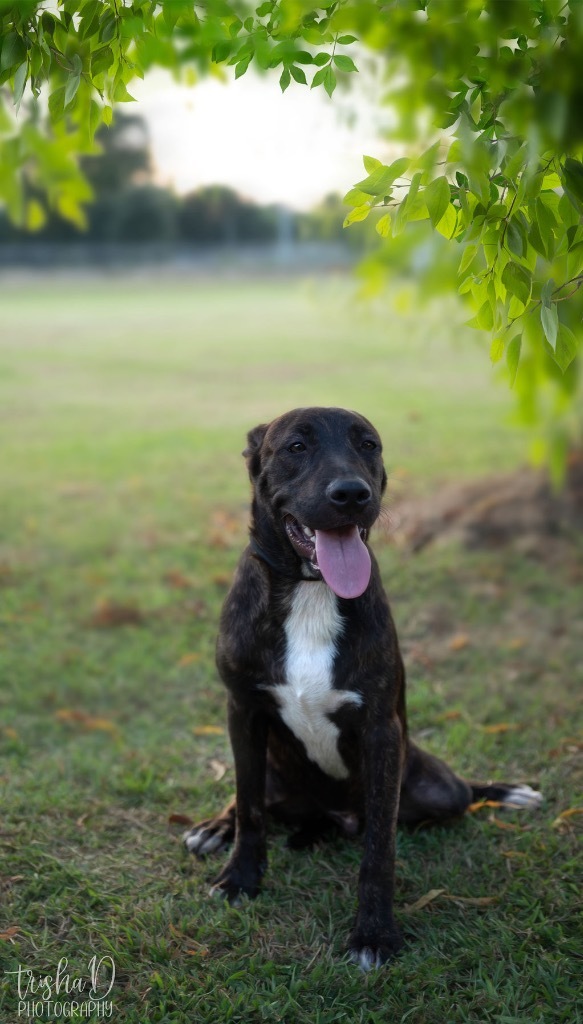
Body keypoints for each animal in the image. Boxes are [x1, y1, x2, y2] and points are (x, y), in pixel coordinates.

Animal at [183, 407, 540, 966]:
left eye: (368, 445)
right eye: (296, 446)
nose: (351, 493)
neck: (310, 590)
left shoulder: (380, 731)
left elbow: (380, 848)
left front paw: (373, 933)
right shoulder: (242, 710)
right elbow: (248, 807)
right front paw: (240, 877)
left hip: (434, 786)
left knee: (457, 794)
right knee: (251, 797)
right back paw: (214, 827)